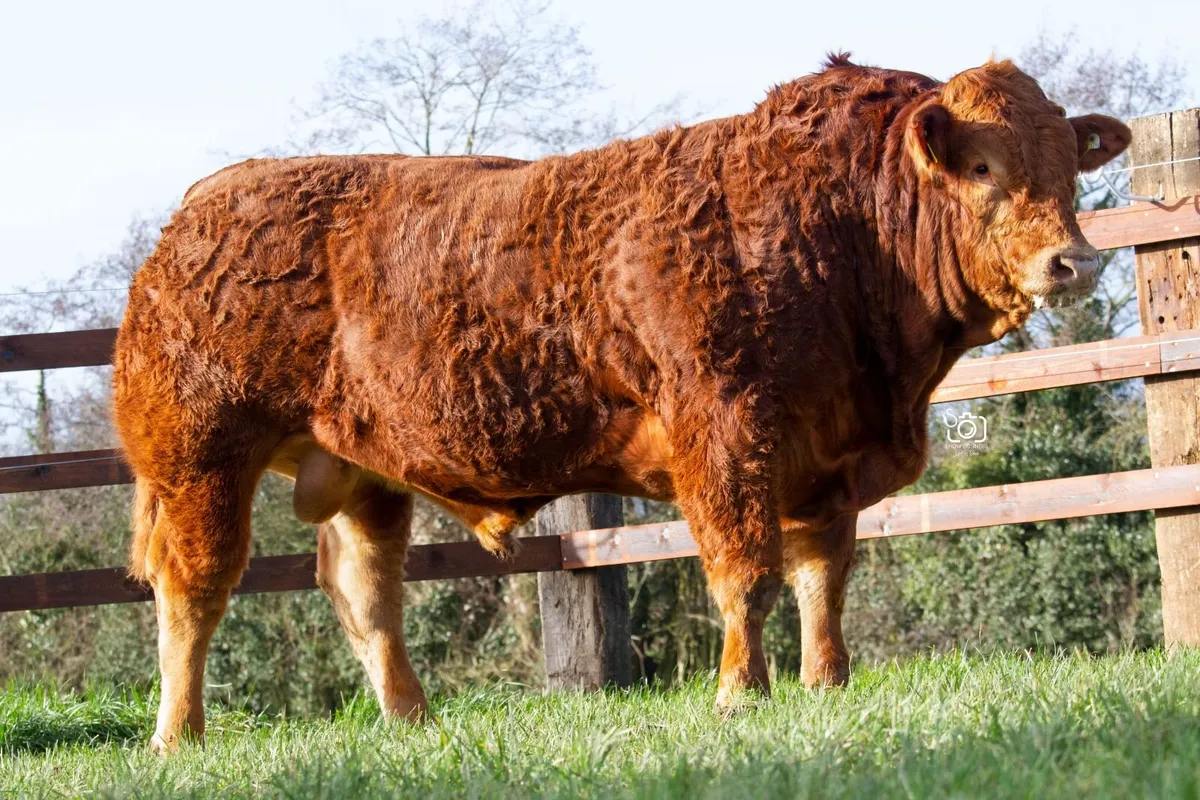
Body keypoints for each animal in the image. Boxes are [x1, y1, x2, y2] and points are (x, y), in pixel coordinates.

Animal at [112, 54, 1130, 751]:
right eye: (985, 167)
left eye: (1069, 165)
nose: (1074, 262)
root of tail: (205, 203)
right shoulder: (726, 436)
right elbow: (745, 573)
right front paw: (740, 693)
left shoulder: (825, 458)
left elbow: (822, 578)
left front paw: (826, 683)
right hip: (200, 459)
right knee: (193, 589)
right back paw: (177, 733)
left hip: (364, 476)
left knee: (365, 594)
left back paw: (410, 718)